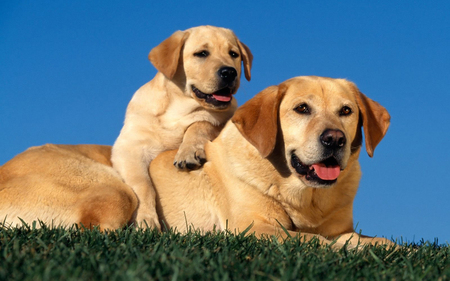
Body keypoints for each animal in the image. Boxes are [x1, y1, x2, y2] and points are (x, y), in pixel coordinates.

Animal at [111, 25, 253, 229]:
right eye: (202, 53)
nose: (229, 72)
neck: (177, 109)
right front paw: (146, 220)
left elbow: (202, 123)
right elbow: (142, 185)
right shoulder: (129, 148)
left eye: (233, 54)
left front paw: (189, 151)